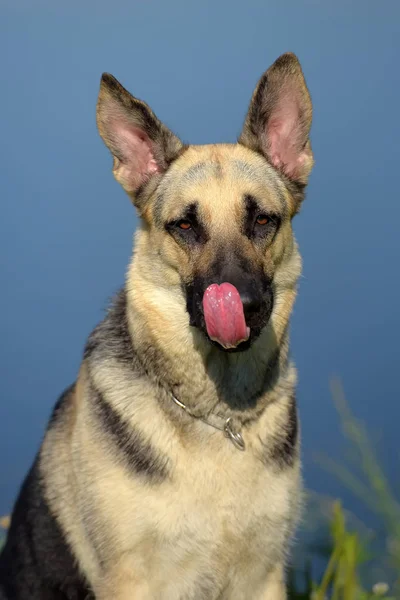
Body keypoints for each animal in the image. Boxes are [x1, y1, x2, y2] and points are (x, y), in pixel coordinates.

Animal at [0, 52, 312, 600]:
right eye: (185, 226)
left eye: (262, 221)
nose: (245, 305)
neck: (217, 416)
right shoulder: (132, 579)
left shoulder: (263, 577)